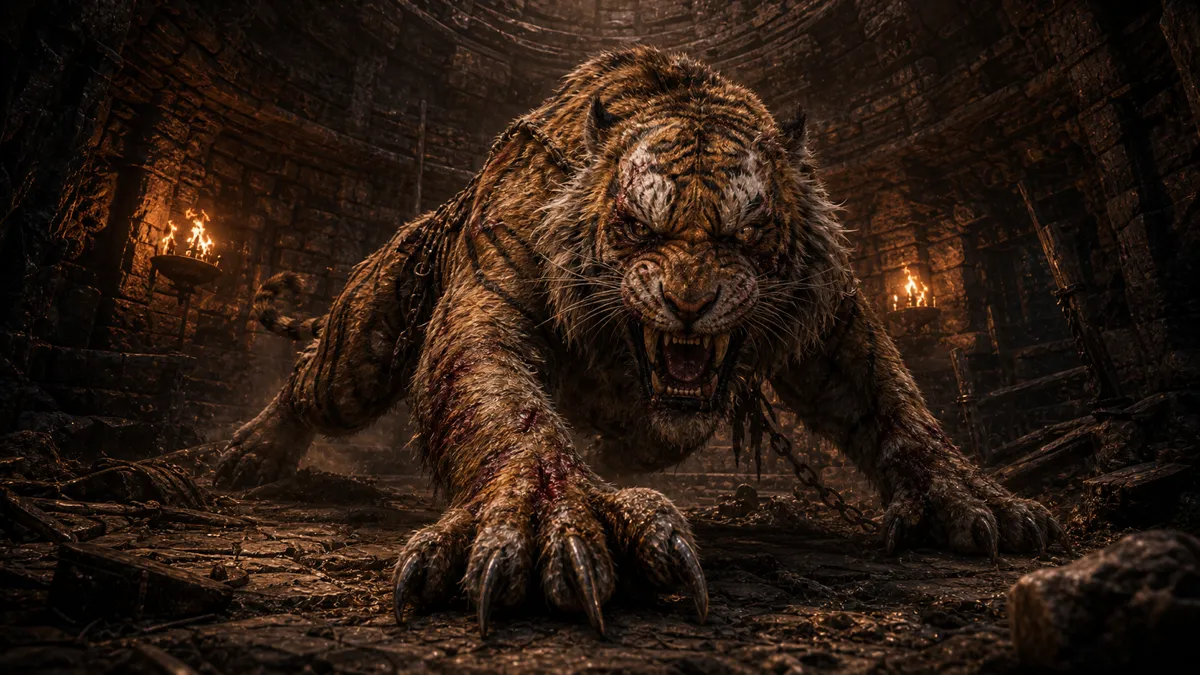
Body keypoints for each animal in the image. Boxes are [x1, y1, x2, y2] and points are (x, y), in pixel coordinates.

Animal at [214, 45, 1069, 636]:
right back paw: (246, 454)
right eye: (635, 225)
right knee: (312, 384)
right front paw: (546, 518)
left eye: (749, 230)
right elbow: (505, 406)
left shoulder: (830, 320)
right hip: (367, 339)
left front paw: (970, 496)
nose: (689, 302)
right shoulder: (491, 293)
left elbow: (891, 400)